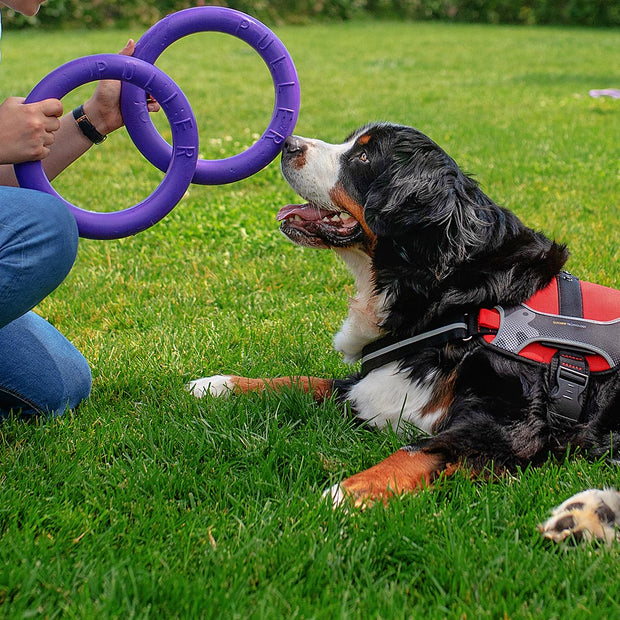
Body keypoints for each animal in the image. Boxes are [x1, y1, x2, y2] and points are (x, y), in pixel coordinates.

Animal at [189, 122, 620, 544]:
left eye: (364, 155)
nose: (286, 144)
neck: (453, 295)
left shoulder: (510, 422)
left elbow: (415, 451)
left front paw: (340, 495)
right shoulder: (378, 384)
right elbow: (302, 381)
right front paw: (220, 384)